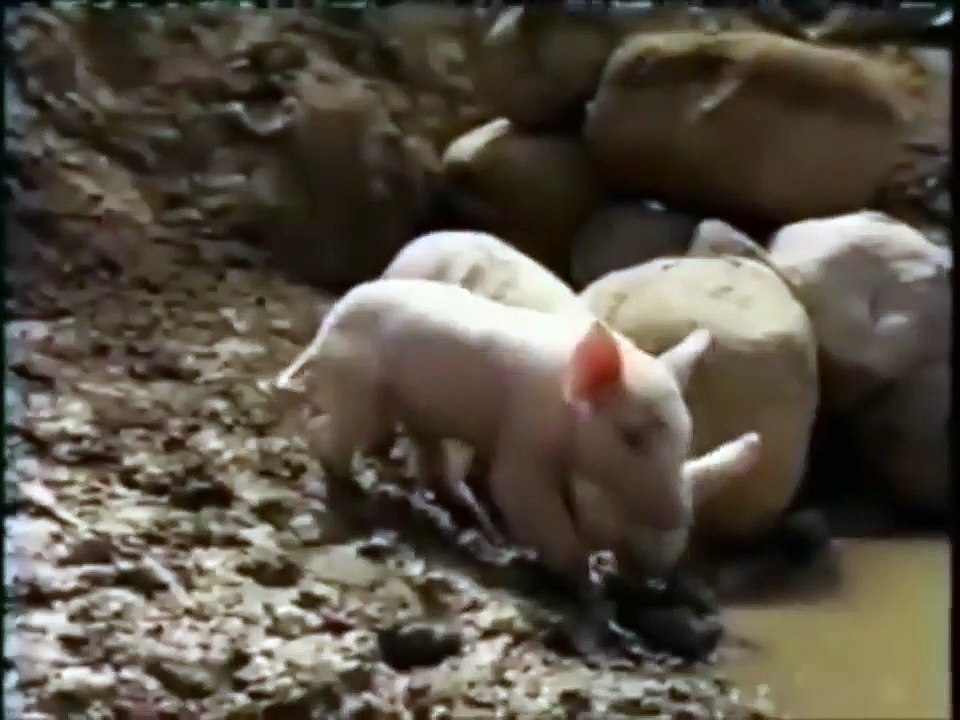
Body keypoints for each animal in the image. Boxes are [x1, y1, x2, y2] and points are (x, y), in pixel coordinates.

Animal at [275, 278, 762, 588]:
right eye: (632, 437)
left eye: (686, 440)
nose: (678, 515)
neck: (567, 411)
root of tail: (327, 327)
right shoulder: (524, 437)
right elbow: (520, 496)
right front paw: (586, 579)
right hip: (360, 390)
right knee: (328, 433)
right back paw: (350, 485)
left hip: (413, 410)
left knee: (427, 460)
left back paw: (473, 518)